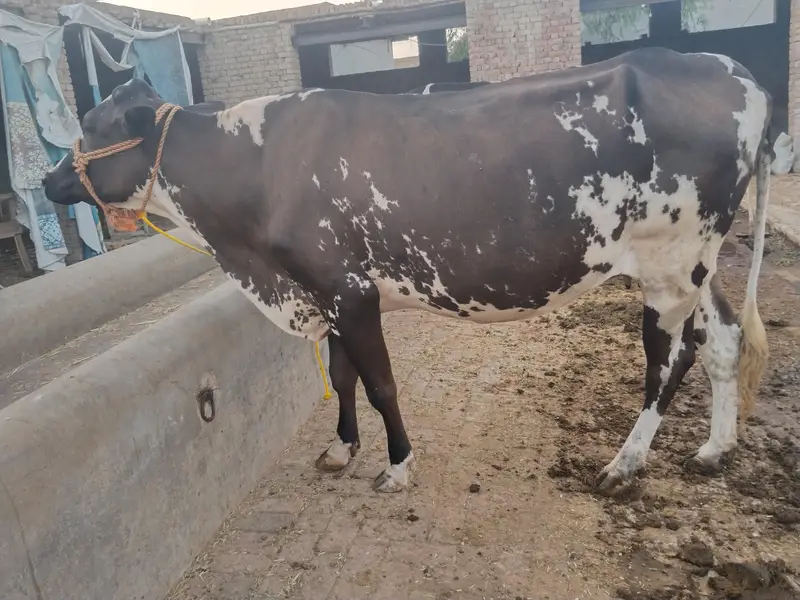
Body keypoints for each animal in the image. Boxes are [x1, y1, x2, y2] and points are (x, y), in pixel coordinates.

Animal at [43, 47, 771, 496]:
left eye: (92, 123)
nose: (50, 180)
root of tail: (729, 69)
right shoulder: (328, 290)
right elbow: (342, 378)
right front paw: (341, 450)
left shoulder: (349, 289)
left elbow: (380, 384)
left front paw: (396, 466)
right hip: (697, 264)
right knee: (724, 340)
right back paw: (715, 449)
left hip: (669, 265)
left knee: (669, 361)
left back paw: (624, 463)